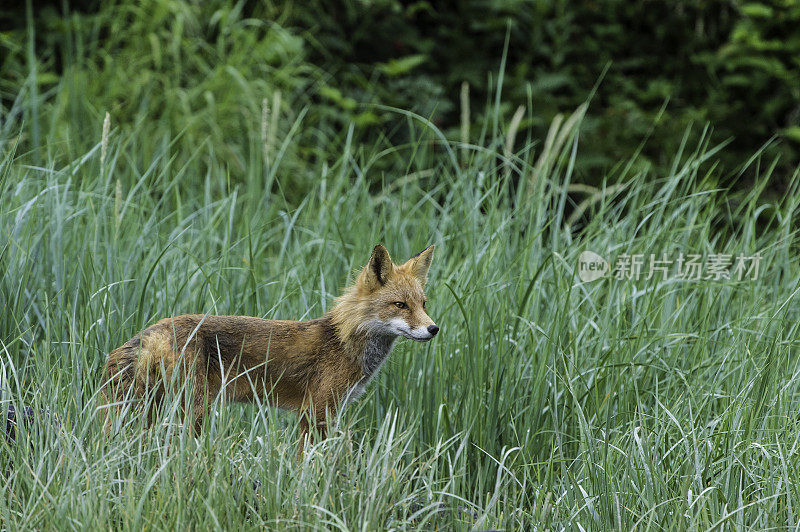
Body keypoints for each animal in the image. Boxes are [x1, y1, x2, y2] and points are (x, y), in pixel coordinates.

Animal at [101, 245, 440, 458]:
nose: (434, 329)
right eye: (400, 305)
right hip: (191, 411)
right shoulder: (316, 411)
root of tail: (152, 330)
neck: (343, 340)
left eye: (423, 304)